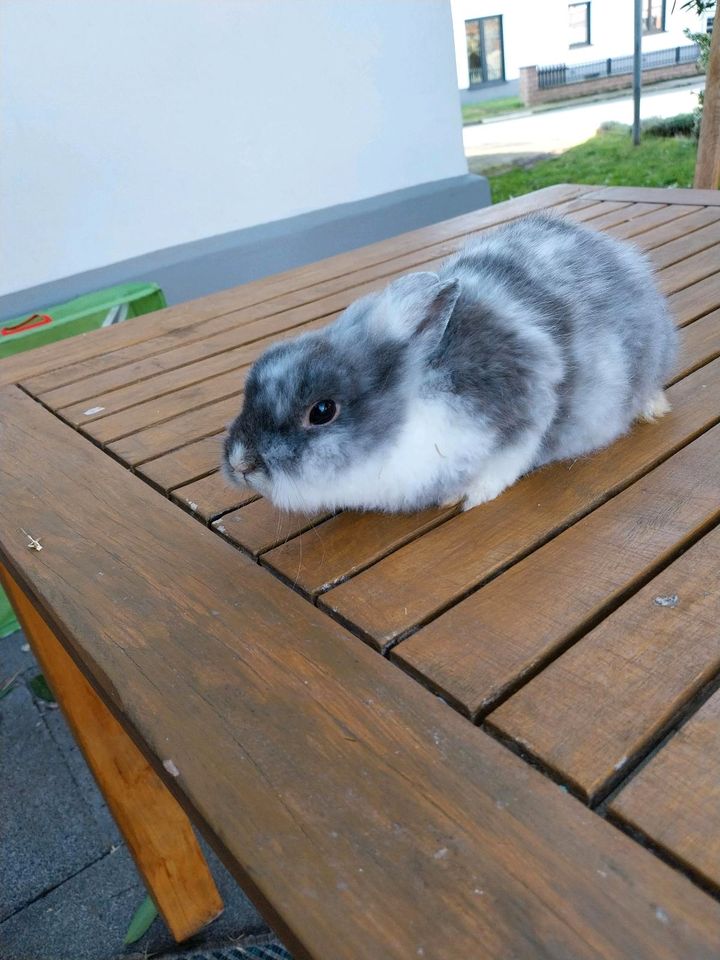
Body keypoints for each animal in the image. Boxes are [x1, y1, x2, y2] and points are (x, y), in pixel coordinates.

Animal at [222, 214, 676, 512]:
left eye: (321, 411)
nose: (240, 464)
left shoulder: (528, 397)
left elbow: (511, 457)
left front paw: (471, 494)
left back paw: (652, 408)